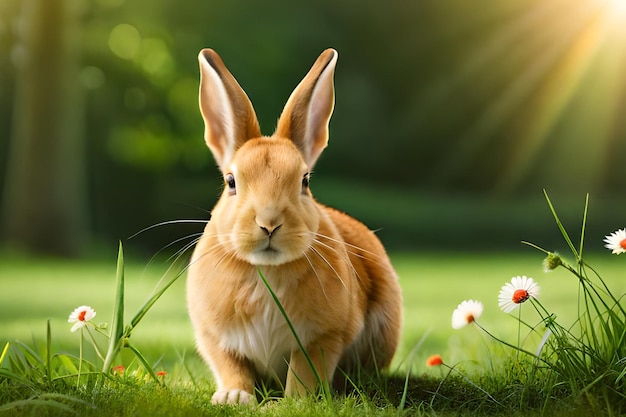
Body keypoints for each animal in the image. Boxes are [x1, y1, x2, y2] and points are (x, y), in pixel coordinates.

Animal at [185, 48, 402, 404]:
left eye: (304, 181)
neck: (265, 271)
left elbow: (305, 370)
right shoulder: (215, 337)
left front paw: (296, 401)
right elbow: (232, 366)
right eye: (231, 182)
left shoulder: (323, 337)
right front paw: (234, 397)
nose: (269, 223)